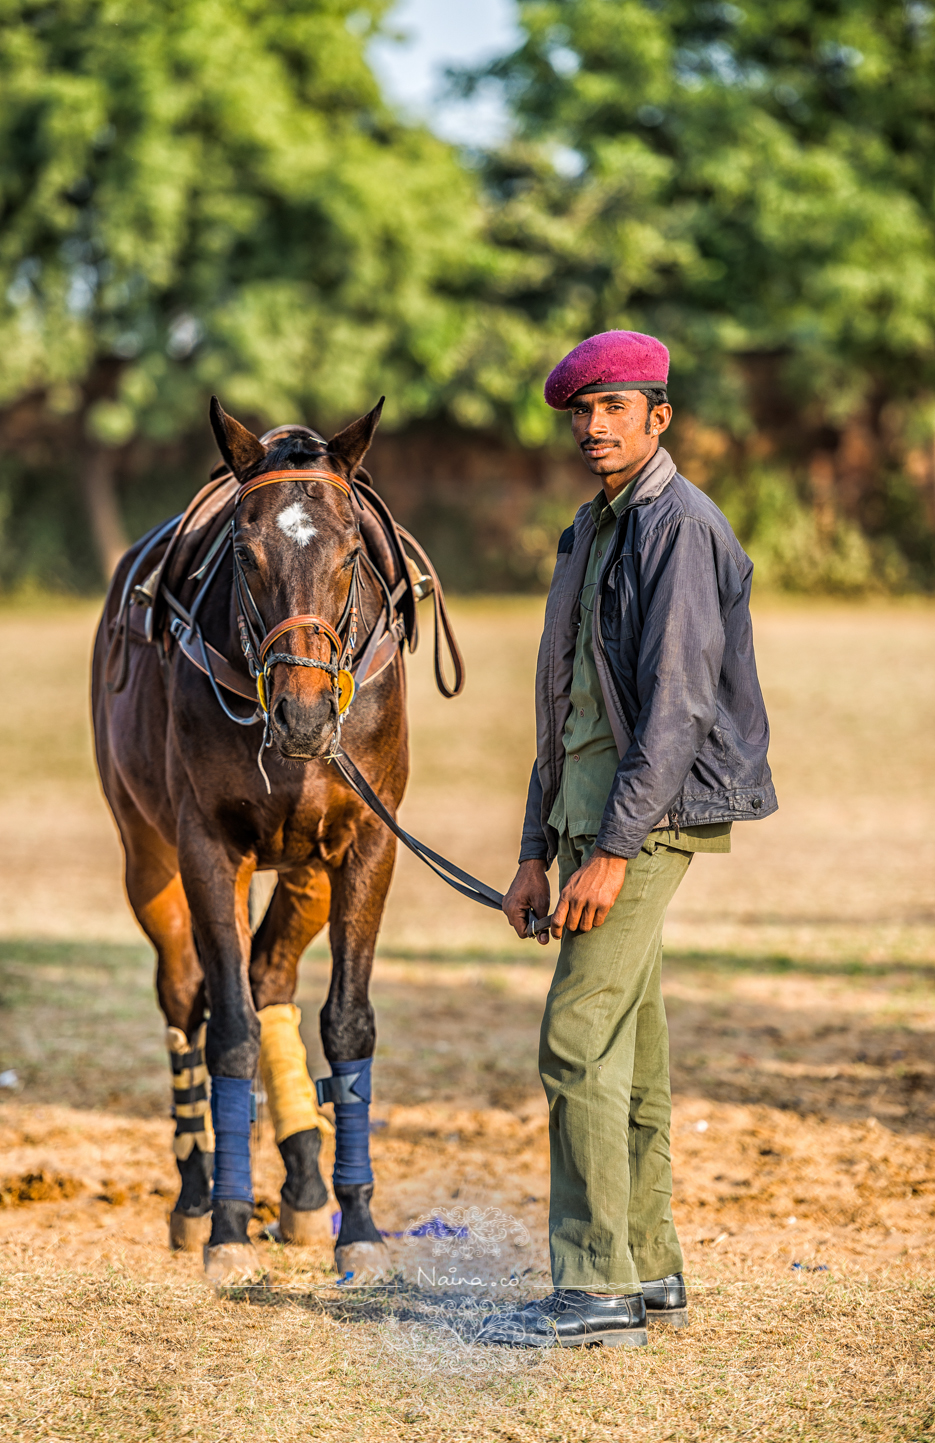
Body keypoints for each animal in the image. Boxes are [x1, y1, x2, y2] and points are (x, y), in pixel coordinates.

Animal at [91, 398, 458, 1287]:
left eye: (352, 551)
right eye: (244, 553)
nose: (303, 715)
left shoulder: (366, 842)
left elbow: (346, 1023)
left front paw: (357, 1220)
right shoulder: (207, 846)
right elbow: (227, 1031)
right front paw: (225, 1224)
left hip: (307, 867)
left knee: (273, 976)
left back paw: (301, 1183)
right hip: (146, 855)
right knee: (187, 993)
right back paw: (196, 1194)